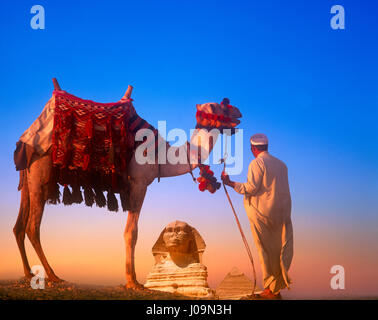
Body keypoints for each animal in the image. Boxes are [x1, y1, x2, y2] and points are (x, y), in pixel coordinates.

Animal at [14, 81, 242, 288]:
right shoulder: (139, 184)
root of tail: (26, 137)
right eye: (219, 106)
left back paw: (28, 273)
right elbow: (132, 232)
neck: (162, 156)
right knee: (32, 227)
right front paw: (133, 282)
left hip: (28, 178)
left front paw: (133, 280)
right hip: (40, 172)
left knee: (19, 226)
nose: (238, 111)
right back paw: (53, 276)